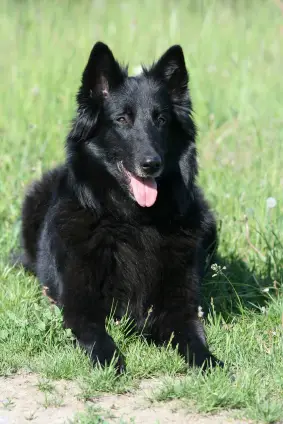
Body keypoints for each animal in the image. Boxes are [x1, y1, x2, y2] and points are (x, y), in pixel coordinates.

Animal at [17, 41, 223, 370]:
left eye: (161, 119)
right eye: (122, 119)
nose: (151, 164)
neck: (133, 221)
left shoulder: (180, 309)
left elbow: (194, 340)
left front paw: (210, 364)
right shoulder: (79, 308)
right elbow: (98, 337)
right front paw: (111, 362)